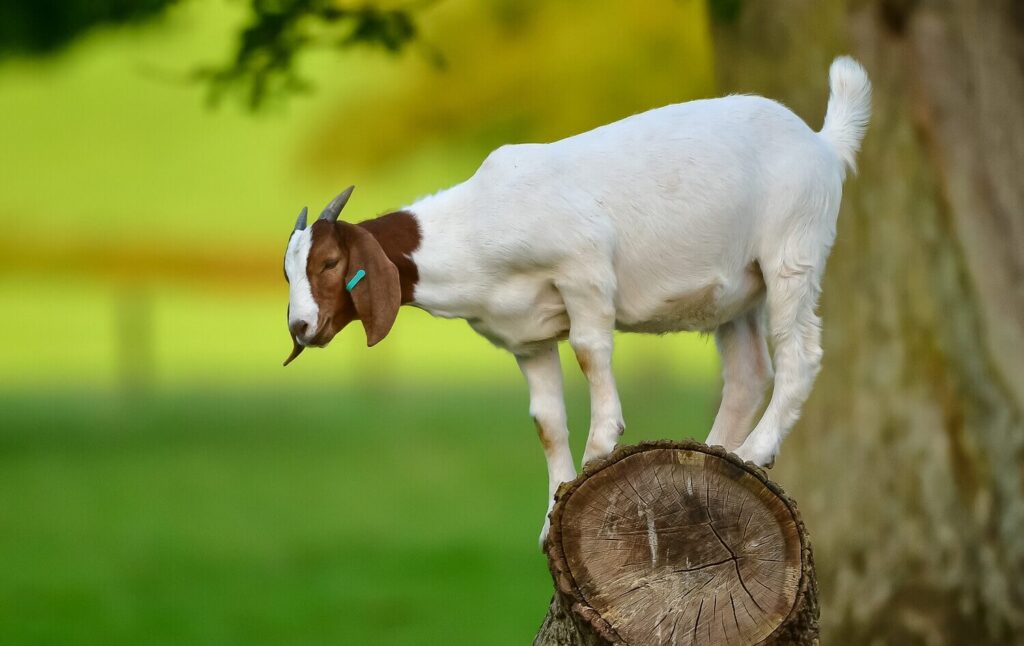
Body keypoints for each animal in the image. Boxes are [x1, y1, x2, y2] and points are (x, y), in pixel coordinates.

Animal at [283, 57, 871, 545]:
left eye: (330, 263)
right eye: (288, 270)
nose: (300, 327)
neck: (475, 227)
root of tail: (823, 142)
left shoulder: (584, 267)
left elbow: (590, 351)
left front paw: (600, 450)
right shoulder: (526, 336)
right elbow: (546, 420)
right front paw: (551, 519)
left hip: (792, 251)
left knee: (799, 356)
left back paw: (754, 451)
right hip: (739, 292)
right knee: (749, 372)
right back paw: (712, 461)